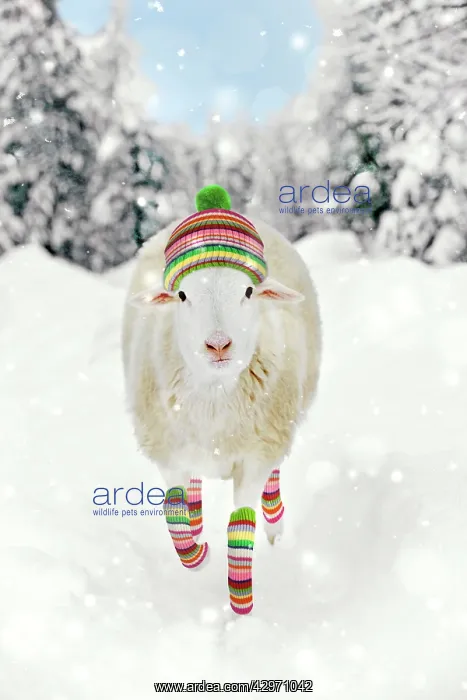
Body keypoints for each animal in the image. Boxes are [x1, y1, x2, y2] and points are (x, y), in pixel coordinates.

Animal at [122, 185, 322, 614]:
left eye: (247, 291)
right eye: (182, 295)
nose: (217, 344)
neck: (214, 396)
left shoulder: (254, 456)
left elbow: (240, 525)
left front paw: (241, 610)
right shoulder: (169, 454)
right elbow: (174, 513)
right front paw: (199, 557)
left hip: (278, 425)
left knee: (272, 484)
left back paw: (276, 523)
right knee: (192, 499)